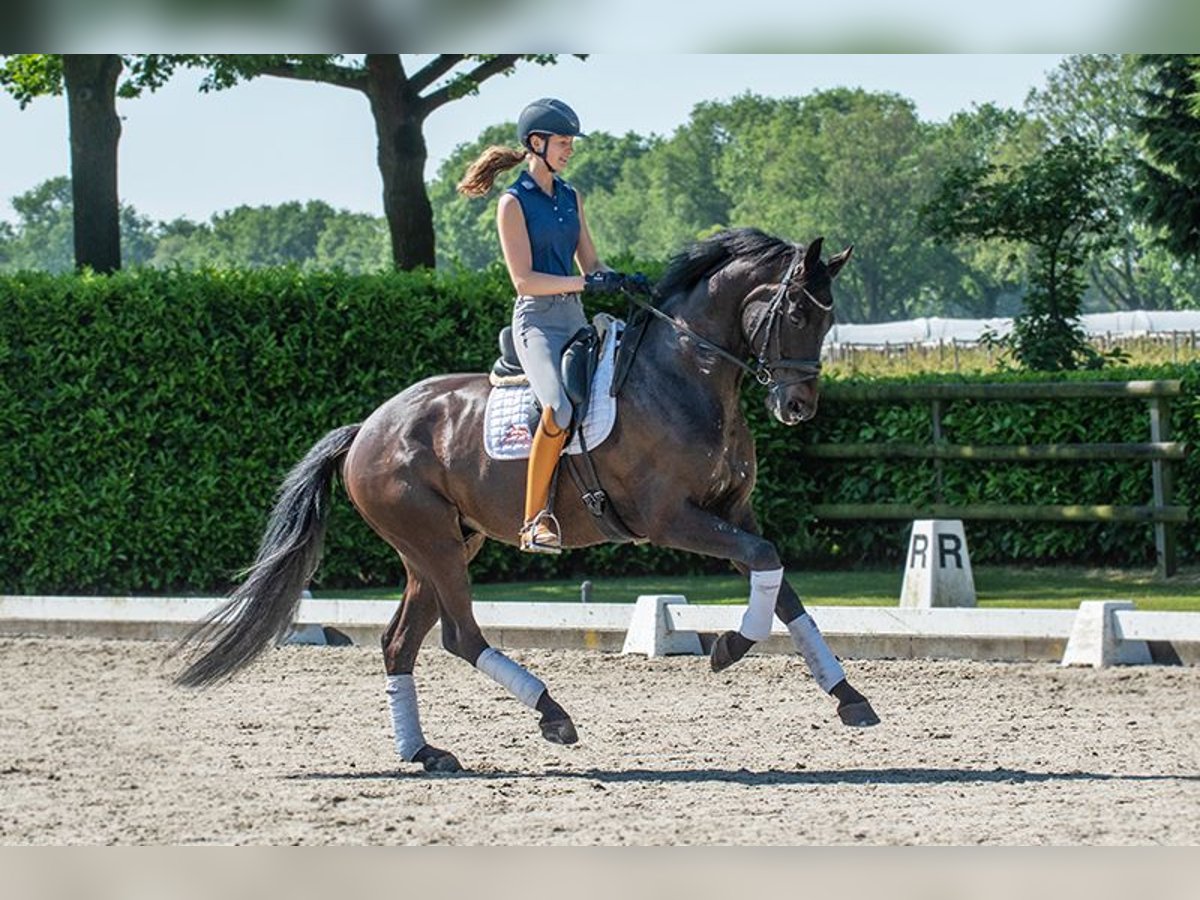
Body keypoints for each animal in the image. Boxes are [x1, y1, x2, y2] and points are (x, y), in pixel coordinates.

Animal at [171, 226, 883, 777]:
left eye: (829, 319)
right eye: (797, 314)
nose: (798, 407)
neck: (686, 376)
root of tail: (367, 428)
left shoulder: (732, 512)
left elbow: (781, 584)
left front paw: (848, 696)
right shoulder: (672, 519)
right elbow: (766, 563)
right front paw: (728, 647)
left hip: (439, 547)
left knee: (401, 643)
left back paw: (425, 753)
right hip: (431, 540)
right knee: (460, 635)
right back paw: (552, 714)